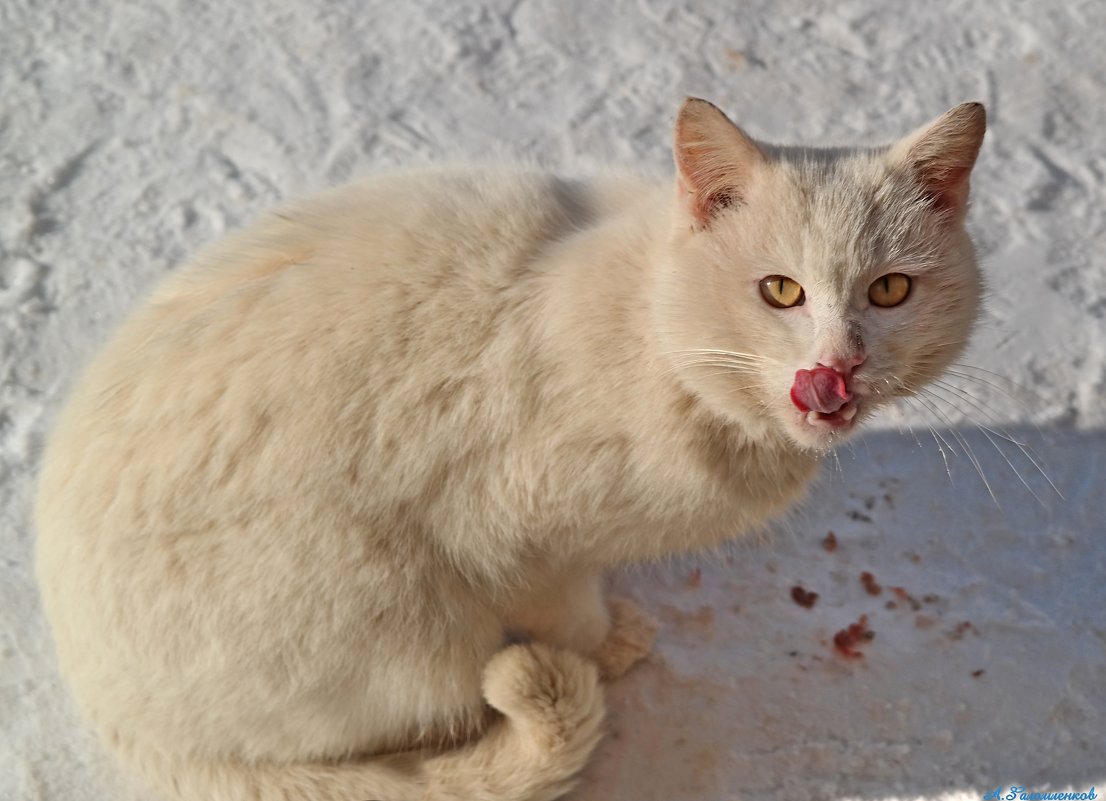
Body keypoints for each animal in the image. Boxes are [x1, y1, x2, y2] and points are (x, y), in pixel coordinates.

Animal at [32, 95, 986, 801]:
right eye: (780, 291)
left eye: (890, 291)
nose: (837, 365)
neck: (655, 338)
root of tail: (109, 715)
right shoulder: (515, 538)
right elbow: (566, 609)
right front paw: (608, 641)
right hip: (400, 612)